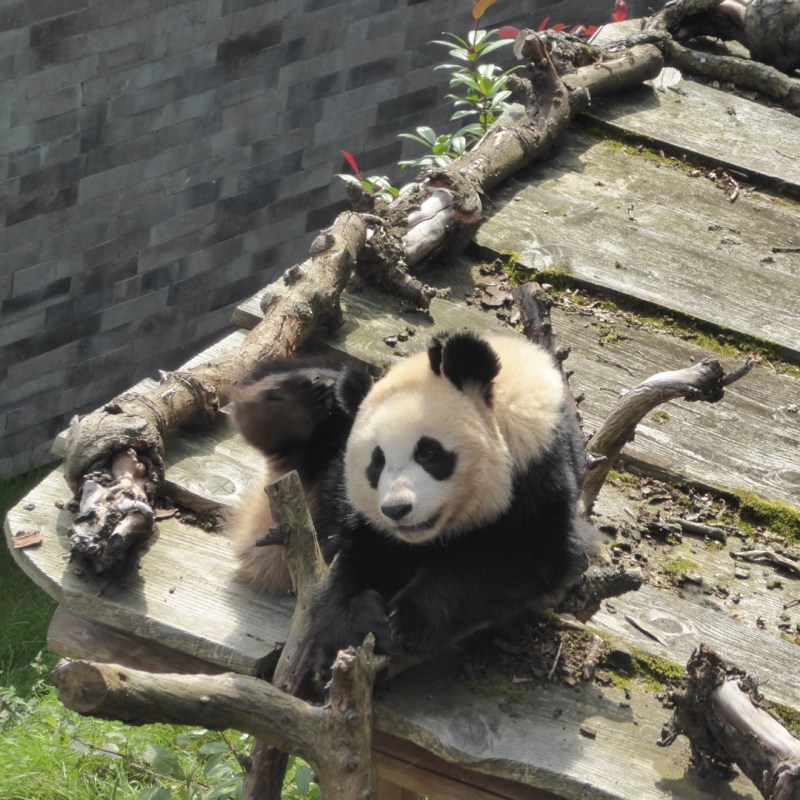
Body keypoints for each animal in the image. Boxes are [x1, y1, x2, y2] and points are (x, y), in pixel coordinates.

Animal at [228, 331, 592, 671]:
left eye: (428, 453)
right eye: (376, 463)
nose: (397, 509)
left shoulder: (538, 472)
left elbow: (520, 556)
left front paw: (406, 620)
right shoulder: (363, 515)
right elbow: (357, 553)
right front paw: (359, 619)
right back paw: (291, 396)